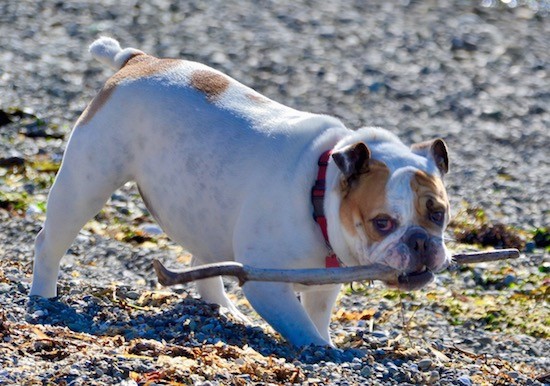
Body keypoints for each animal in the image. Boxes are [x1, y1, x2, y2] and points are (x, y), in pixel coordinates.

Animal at [31, 37, 452, 348]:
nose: (420, 241)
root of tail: (137, 60)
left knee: (206, 267)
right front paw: (325, 352)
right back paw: (42, 297)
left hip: (202, 211)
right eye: (382, 223)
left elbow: (316, 316)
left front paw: (328, 342)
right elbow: (304, 328)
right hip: (85, 184)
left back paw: (224, 311)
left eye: (439, 214)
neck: (319, 189)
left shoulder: (324, 284)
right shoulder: (269, 287)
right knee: (50, 242)